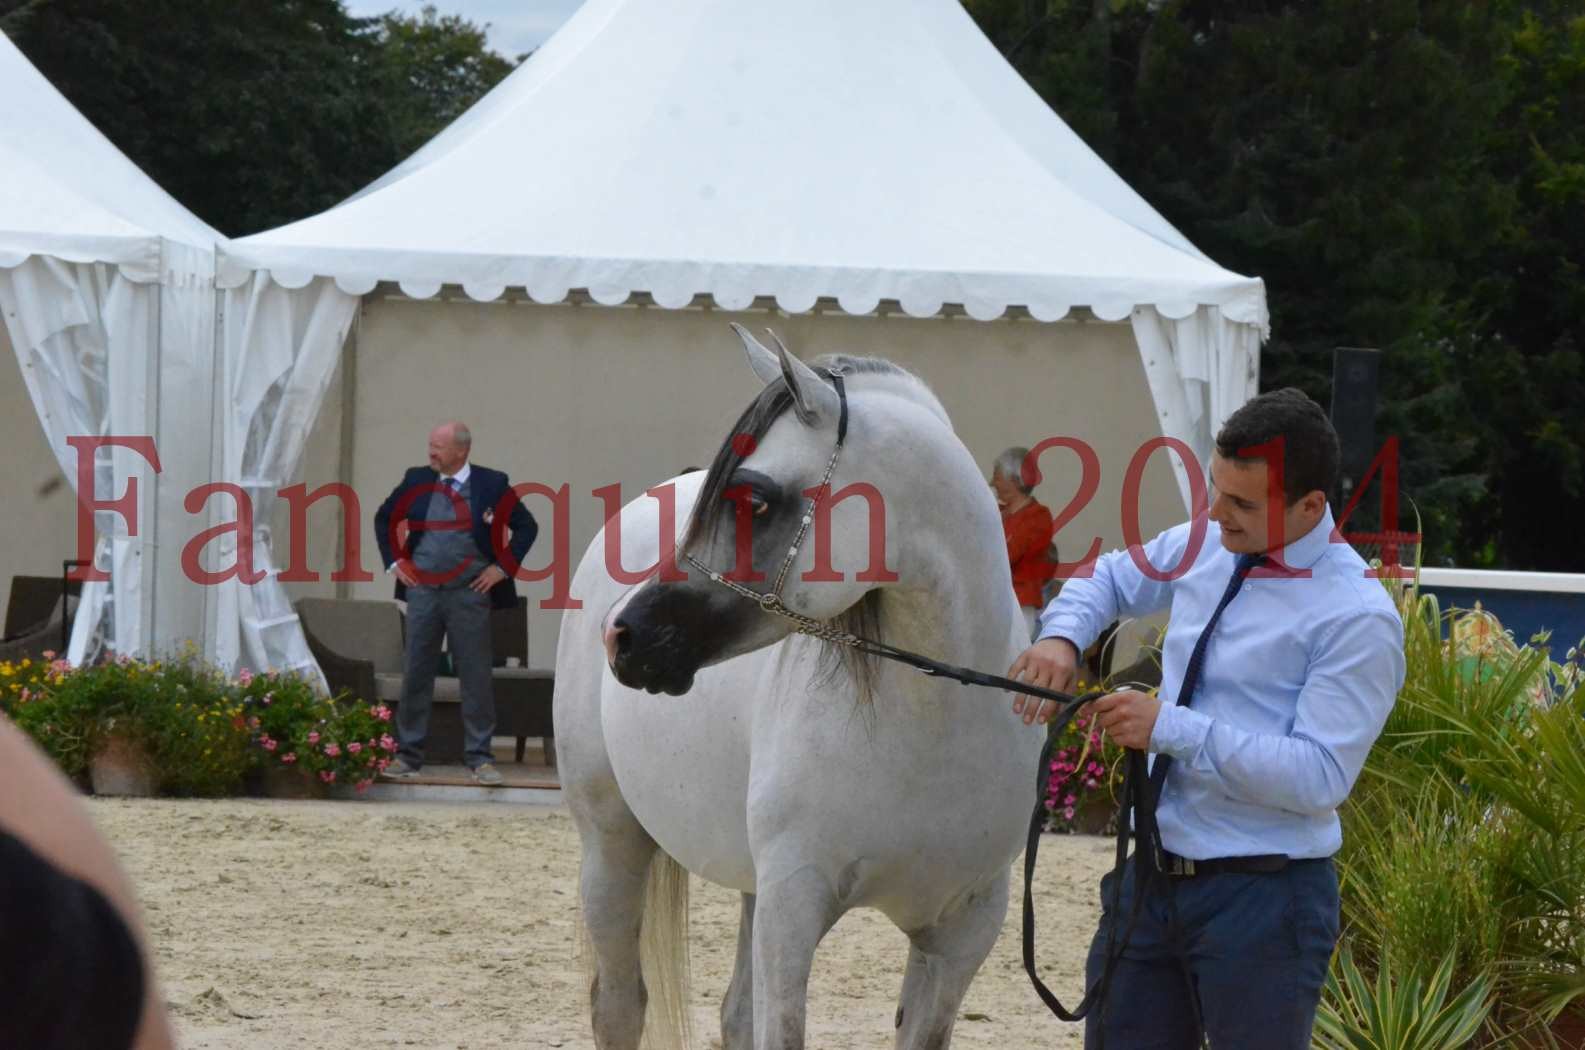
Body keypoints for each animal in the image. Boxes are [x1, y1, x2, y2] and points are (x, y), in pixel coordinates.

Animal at [551, 329, 1046, 1050]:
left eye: (754, 499)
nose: (624, 635)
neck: (935, 727)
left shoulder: (963, 930)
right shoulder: (793, 905)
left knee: (733, 1012)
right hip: (611, 846)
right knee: (618, 1004)